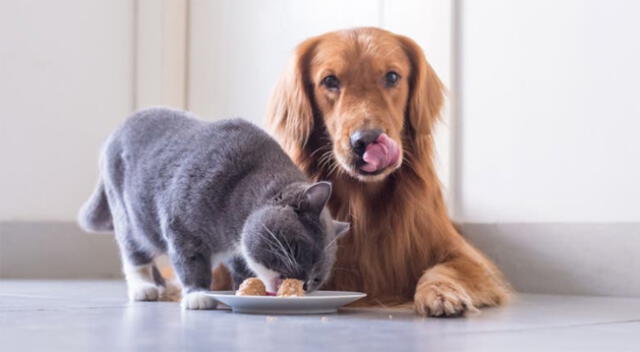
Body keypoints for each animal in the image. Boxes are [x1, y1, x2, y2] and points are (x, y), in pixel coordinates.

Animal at [80, 108, 352, 310]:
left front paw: (243, 289)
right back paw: (144, 288)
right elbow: (190, 261)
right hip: (128, 214)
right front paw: (198, 294)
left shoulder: (237, 251)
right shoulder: (181, 227)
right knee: (134, 253)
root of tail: (117, 130)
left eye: (317, 279)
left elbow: (242, 268)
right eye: (302, 251)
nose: (304, 284)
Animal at [264, 26, 510, 314]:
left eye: (392, 76)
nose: (366, 140)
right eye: (330, 81)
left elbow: (443, 269)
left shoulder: (465, 256)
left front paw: (440, 292)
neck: (364, 203)